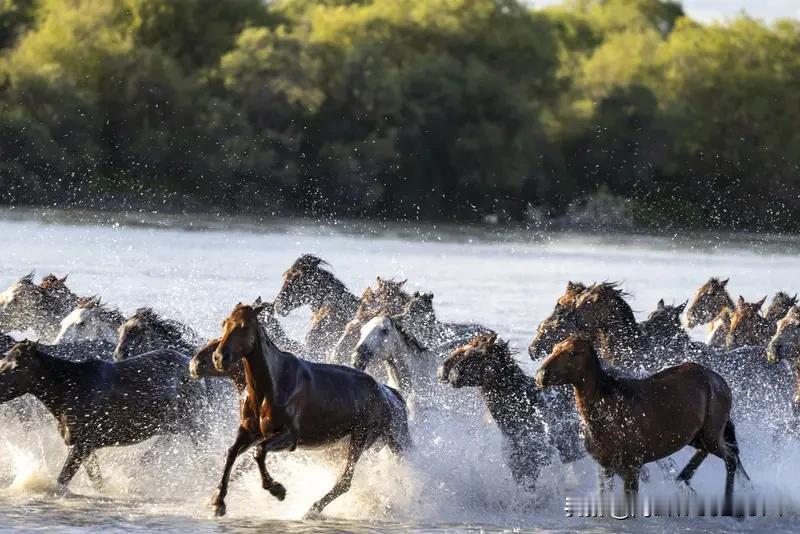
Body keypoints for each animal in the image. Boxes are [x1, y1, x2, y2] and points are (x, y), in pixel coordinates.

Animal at [0, 340, 209, 488]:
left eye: (15, 367)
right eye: (2, 361)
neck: (67, 390)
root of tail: (190, 365)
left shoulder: (83, 443)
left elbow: (63, 479)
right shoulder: (82, 445)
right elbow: (96, 480)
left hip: (197, 426)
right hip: (173, 426)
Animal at [209, 303, 411, 518]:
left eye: (245, 326)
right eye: (224, 323)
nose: (219, 358)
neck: (271, 385)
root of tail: (387, 393)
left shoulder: (289, 436)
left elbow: (259, 451)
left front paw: (277, 490)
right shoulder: (250, 431)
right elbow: (231, 453)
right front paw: (218, 502)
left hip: (361, 437)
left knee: (345, 481)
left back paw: (311, 510)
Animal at [535, 334, 749, 512]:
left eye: (573, 353)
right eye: (554, 348)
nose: (541, 375)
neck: (608, 415)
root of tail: (719, 381)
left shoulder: (631, 469)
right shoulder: (605, 468)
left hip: (712, 434)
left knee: (730, 458)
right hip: (697, 436)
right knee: (709, 452)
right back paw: (683, 481)